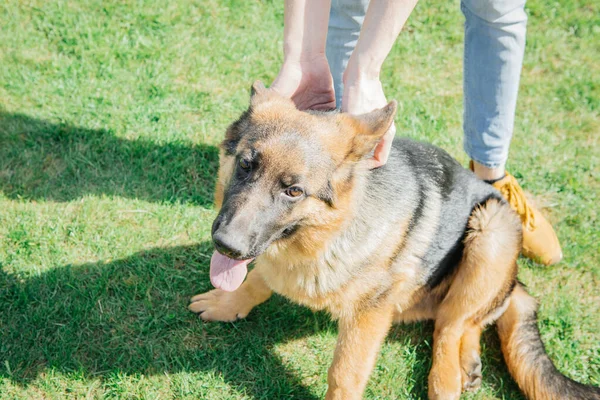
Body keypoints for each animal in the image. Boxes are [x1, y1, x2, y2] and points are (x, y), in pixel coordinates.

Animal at [189, 82, 600, 400]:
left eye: (293, 191)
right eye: (245, 165)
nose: (226, 245)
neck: (327, 237)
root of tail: (514, 278)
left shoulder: (368, 316)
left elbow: (344, 373)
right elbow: (255, 281)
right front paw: (229, 303)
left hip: (490, 232)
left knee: (451, 324)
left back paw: (448, 377)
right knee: (467, 321)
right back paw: (468, 361)